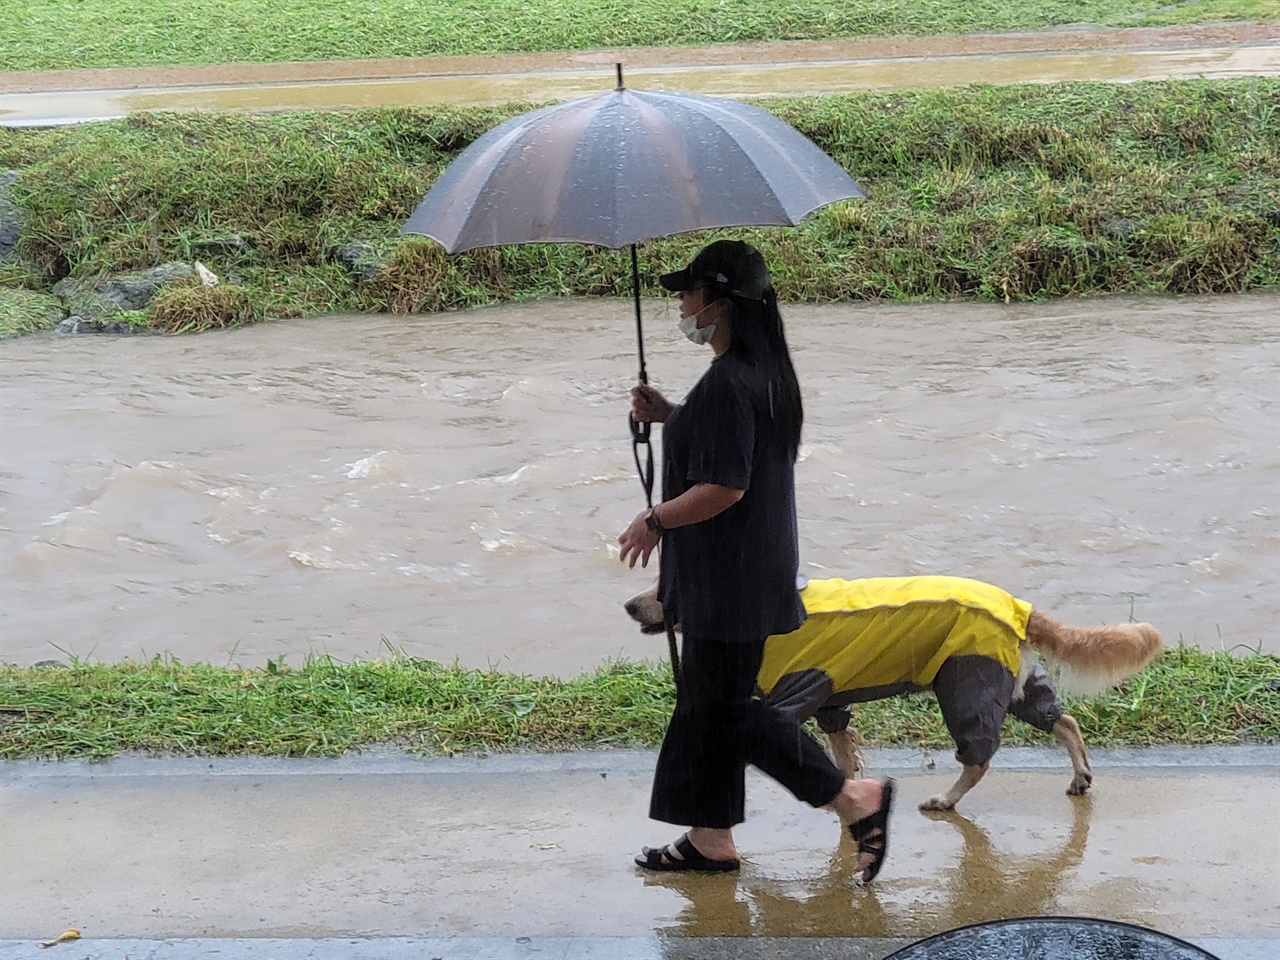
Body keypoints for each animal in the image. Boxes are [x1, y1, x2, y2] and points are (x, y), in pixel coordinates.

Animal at [624, 578, 1167, 814]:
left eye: (666, 587)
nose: (628, 605)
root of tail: (1018, 605)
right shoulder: (830, 702)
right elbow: (844, 752)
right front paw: (849, 793)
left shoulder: (795, 695)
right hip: (1009, 682)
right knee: (1064, 720)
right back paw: (1080, 777)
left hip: (966, 683)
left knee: (978, 757)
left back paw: (946, 798)